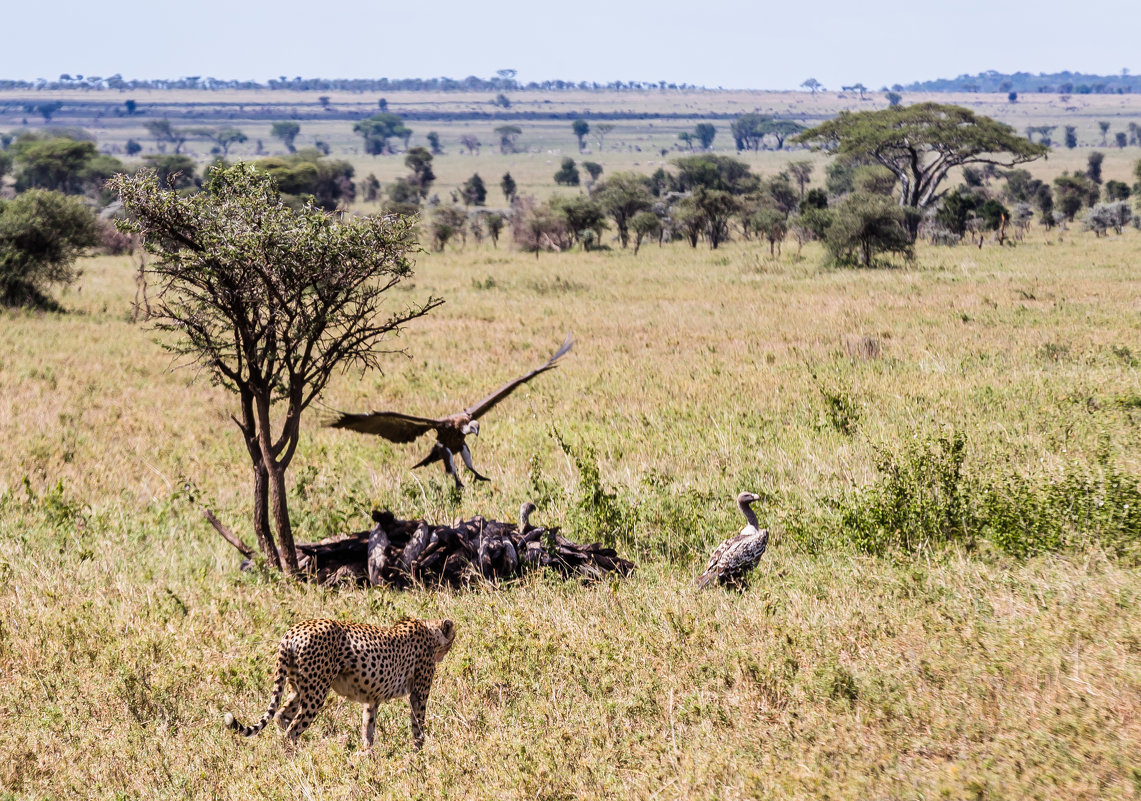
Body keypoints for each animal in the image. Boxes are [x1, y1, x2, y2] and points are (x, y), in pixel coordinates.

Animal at [222, 616, 454, 748]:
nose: (446, 653)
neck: (429, 631)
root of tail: (293, 630)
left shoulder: (372, 699)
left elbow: (368, 729)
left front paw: (368, 759)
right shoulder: (419, 693)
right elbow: (418, 724)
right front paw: (419, 754)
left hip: (298, 687)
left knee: (281, 715)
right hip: (316, 693)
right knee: (293, 729)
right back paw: (295, 759)